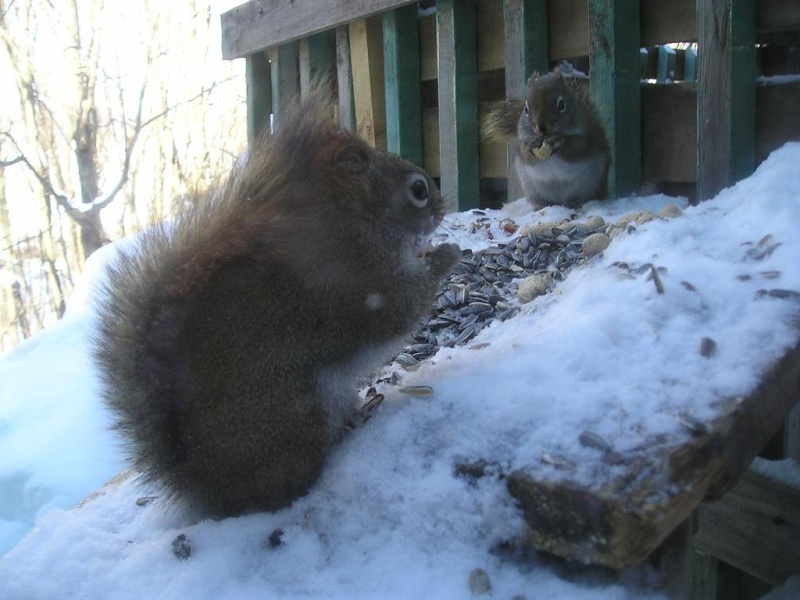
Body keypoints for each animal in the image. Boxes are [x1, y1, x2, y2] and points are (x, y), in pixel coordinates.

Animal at [91, 85, 460, 520]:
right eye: (418, 189)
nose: (442, 207)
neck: (355, 219)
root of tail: (213, 490)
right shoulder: (359, 281)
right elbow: (400, 308)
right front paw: (447, 255)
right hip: (296, 412)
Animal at [482, 67, 612, 209]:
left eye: (561, 105)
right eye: (526, 109)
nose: (542, 128)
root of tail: (558, 200)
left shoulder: (585, 136)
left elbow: (574, 149)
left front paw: (558, 142)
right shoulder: (522, 142)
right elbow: (527, 156)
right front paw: (532, 144)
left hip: (590, 184)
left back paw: (574, 202)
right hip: (531, 187)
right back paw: (541, 204)